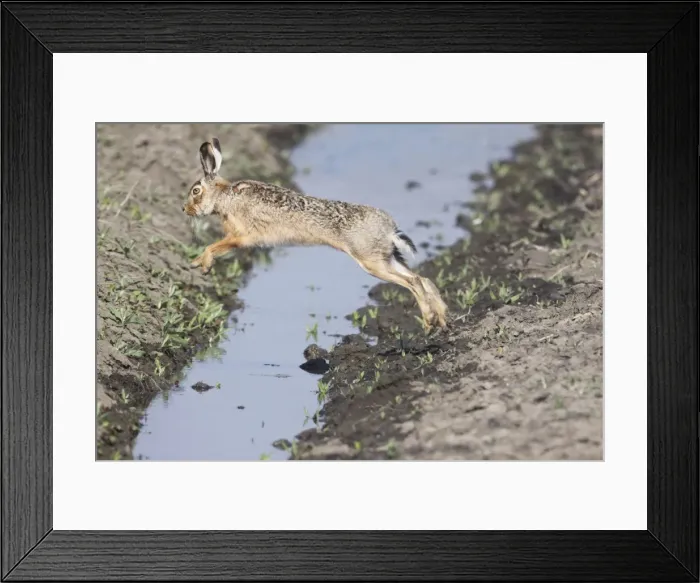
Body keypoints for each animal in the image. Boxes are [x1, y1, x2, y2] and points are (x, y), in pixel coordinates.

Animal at [182, 138, 448, 329]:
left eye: (195, 191)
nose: (184, 209)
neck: (224, 197)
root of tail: (389, 228)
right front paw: (195, 264)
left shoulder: (241, 236)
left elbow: (213, 247)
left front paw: (202, 265)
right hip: (387, 258)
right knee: (423, 279)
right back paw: (443, 319)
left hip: (370, 261)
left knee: (413, 282)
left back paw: (429, 322)